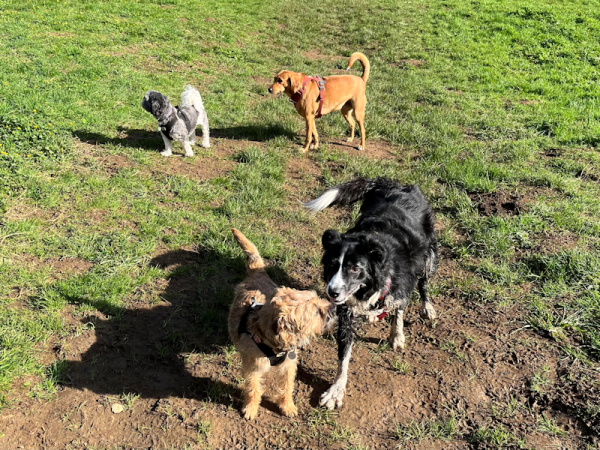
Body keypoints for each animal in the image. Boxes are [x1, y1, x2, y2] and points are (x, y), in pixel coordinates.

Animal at [229, 230, 332, 420]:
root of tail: (257, 271)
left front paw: (287, 406)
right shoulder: (252, 368)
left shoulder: (289, 365)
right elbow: (253, 388)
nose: (333, 307)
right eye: (316, 311)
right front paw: (251, 408)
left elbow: (287, 386)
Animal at [304, 178, 436, 410]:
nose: (332, 292)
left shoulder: (402, 285)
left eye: (355, 268)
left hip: (428, 256)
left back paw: (426, 306)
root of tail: (393, 183)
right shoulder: (348, 313)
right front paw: (336, 390)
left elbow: (399, 310)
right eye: (332, 265)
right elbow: (343, 357)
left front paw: (397, 335)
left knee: (424, 283)